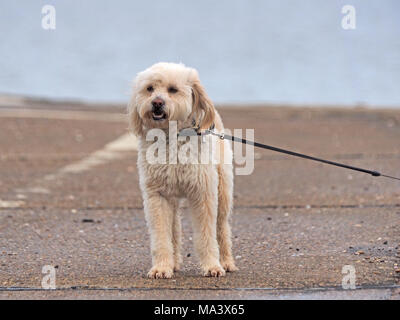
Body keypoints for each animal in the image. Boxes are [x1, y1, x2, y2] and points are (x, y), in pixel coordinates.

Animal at [128, 62, 236, 278]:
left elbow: (206, 235)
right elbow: (162, 236)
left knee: (221, 228)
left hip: (223, 192)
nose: (157, 103)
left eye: (173, 89)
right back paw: (174, 262)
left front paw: (212, 265)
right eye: (149, 88)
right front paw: (162, 267)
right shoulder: (157, 196)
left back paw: (226, 262)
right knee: (175, 229)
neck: (171, 136)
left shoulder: (203, 194)